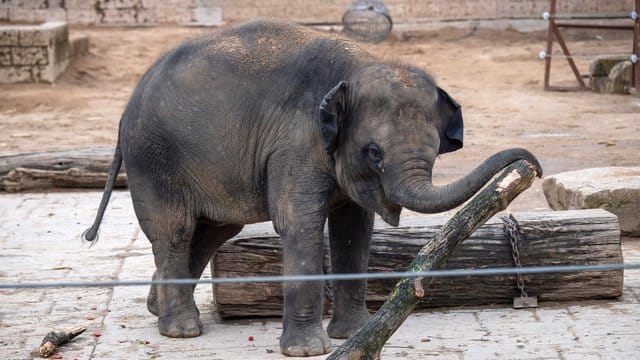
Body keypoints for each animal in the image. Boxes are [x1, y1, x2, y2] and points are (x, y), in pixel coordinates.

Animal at [84, 19, 540, 354]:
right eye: (374, 152)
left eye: (435, 150)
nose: (530, 164)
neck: (353, 70)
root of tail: (127, 107)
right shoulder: (296, 143)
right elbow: (299, 223)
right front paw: (309, 351)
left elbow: (354, 230)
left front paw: (351, 335)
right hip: (153, 158)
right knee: (176, 231)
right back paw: (181, 331)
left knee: (214, 230)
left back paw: (156, 309)